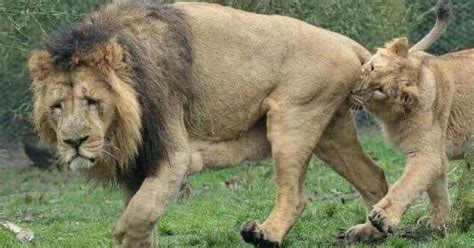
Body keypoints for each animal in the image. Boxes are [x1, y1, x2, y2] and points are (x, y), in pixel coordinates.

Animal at [28, 1, 388, 246]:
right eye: (57, 107)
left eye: (93, 101)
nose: (74, 142)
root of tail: (344, 41)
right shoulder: (137, 164)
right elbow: (142, 215)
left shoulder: (173, 154)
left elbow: (136, 217)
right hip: (330, 130)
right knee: (373, 175)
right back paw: (372, 231)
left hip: (293, 116)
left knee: (296, 196)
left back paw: (266, 234)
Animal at [350, 0, 468, 236]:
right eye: (371, 68)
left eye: (380, 90)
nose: (354, 88)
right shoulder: (436, 154)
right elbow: (437, 191)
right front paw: (439, 222)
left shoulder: (427, 153)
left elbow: (405, 185)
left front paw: (381, 218)